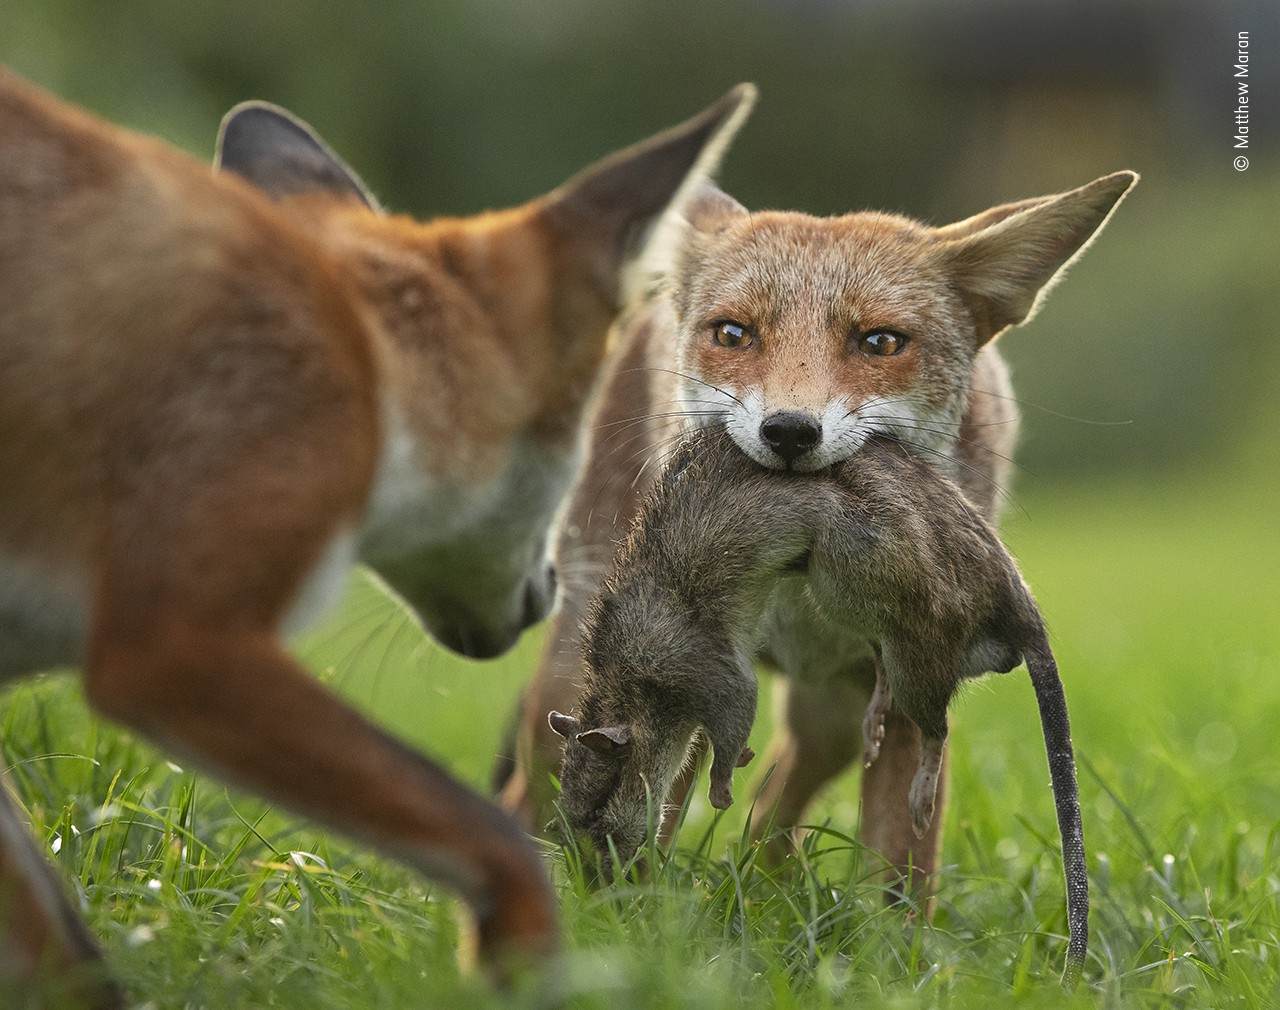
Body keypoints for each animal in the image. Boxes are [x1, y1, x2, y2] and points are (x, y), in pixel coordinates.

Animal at [0, 66, 752, 1003]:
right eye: (571, 457)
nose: (549, 596)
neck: (371, 361)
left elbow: (69, 956)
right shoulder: (175, 647)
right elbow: (497, 838)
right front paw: (531, 967)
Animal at [494, 149, 1136, 896]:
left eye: (881, 342)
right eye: (733, 333)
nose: (790, 431)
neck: (801, 594)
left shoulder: (907, 679)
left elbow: (899, 876)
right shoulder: (695, 682)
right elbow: (660, 820)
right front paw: (637, 909)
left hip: (832, 719)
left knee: (774, 807)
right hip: (578, 675)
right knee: (534, 795)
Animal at [550, 424, 1090, 983]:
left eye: (599, 809)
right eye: (563, 827)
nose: (603, 907)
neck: (621, 689)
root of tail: (1020, 608)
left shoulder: (707, 670)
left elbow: (735, 718)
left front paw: (723, 786)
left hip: (883, 597)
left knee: (933, 724)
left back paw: (920, 789)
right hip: (849, 595)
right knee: (883, 661)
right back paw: (875, 711)